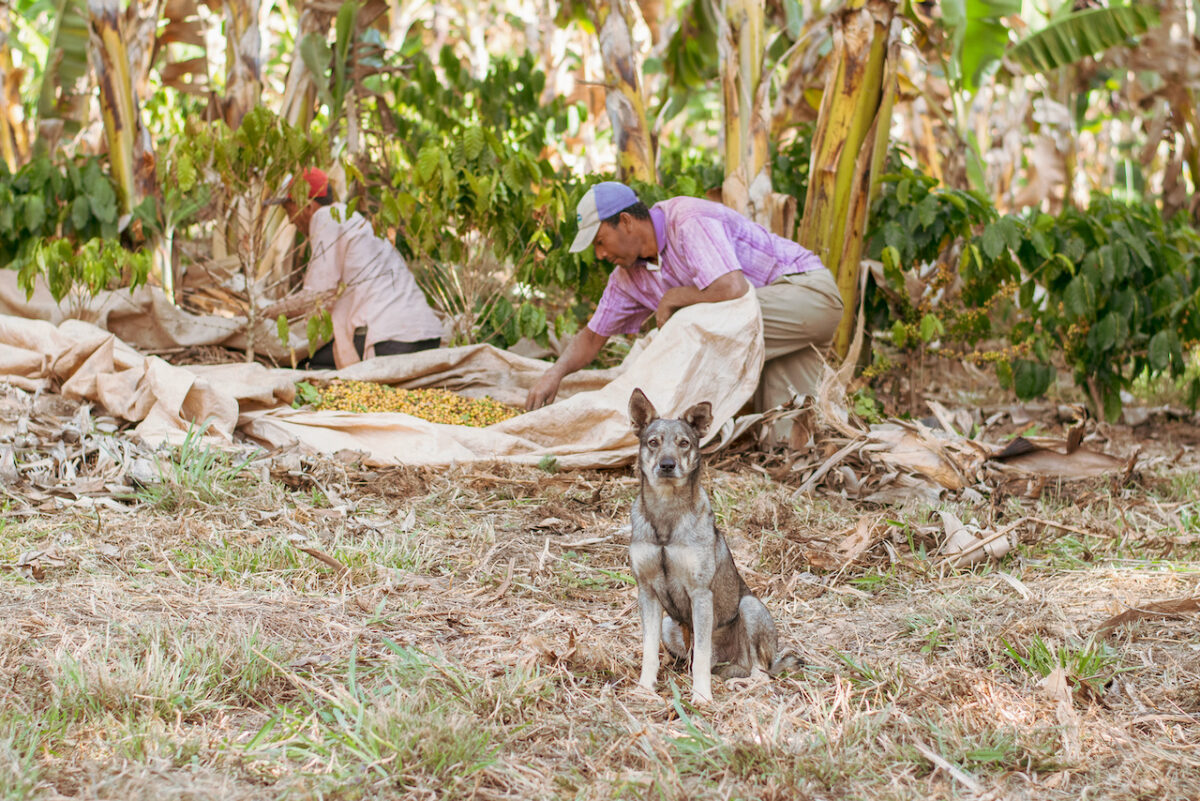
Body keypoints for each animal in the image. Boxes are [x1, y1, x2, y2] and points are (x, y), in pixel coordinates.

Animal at [628, 388, 796, 700]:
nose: (667, 465)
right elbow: (649, 649)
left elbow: (702, 656)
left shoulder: (700, 595)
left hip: (749, 608)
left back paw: (739, 683)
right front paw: (645, 687)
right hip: (670, 625)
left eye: (684, 443)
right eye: (653, 442)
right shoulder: (647, 592)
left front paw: (701, 696)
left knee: (760, 672)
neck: (666, 514)